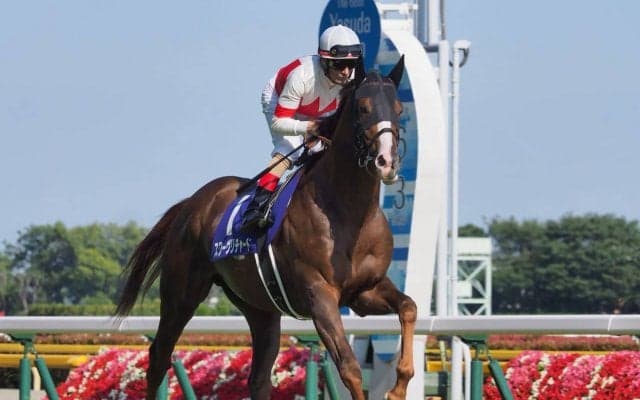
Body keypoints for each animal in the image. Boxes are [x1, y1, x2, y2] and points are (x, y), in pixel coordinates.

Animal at [115, 56, 417, 400]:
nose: (386, 162)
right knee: (158, 359)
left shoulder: (364, 291)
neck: (348, 214)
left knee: (259, 377)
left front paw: (399, 385)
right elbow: (350, 368)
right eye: (364, 108)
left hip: (259, 307)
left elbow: (409, 307)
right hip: (181, 295)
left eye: (399, 108)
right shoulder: (320, 295)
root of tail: (191, 203)